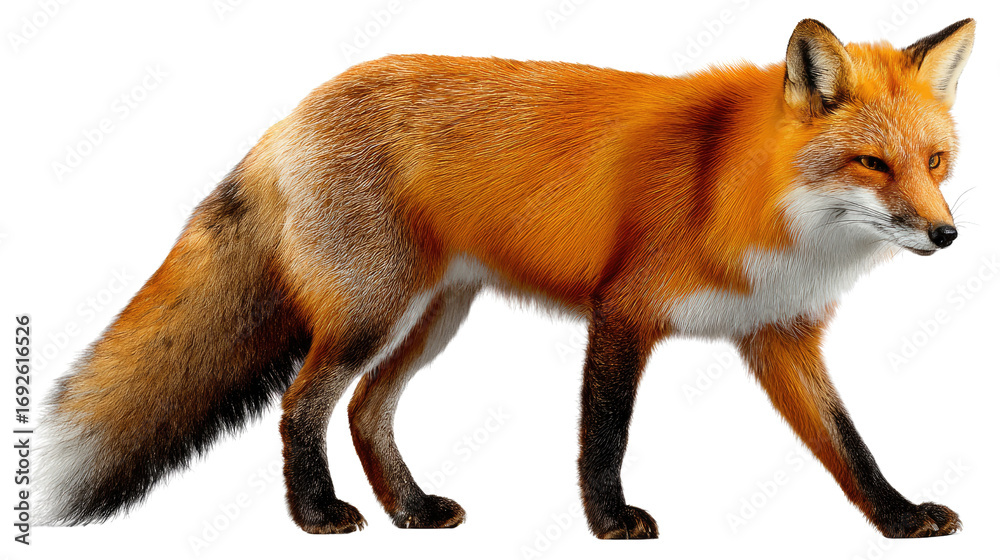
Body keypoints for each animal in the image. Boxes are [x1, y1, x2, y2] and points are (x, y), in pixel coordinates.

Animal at [36, 18, 975, 539]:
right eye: (871, 163)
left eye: (934, 162)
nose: (948, 234)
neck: (741, 189)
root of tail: (292, 113)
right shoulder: (623, 310)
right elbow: (605, 435)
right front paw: (610, 522)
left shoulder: (778, 334)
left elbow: (850, 445)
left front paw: (897, 518)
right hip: (373, 312)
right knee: (303, 405)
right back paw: (316, 517)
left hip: (433, 317)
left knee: (367, 411)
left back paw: (411, 511)